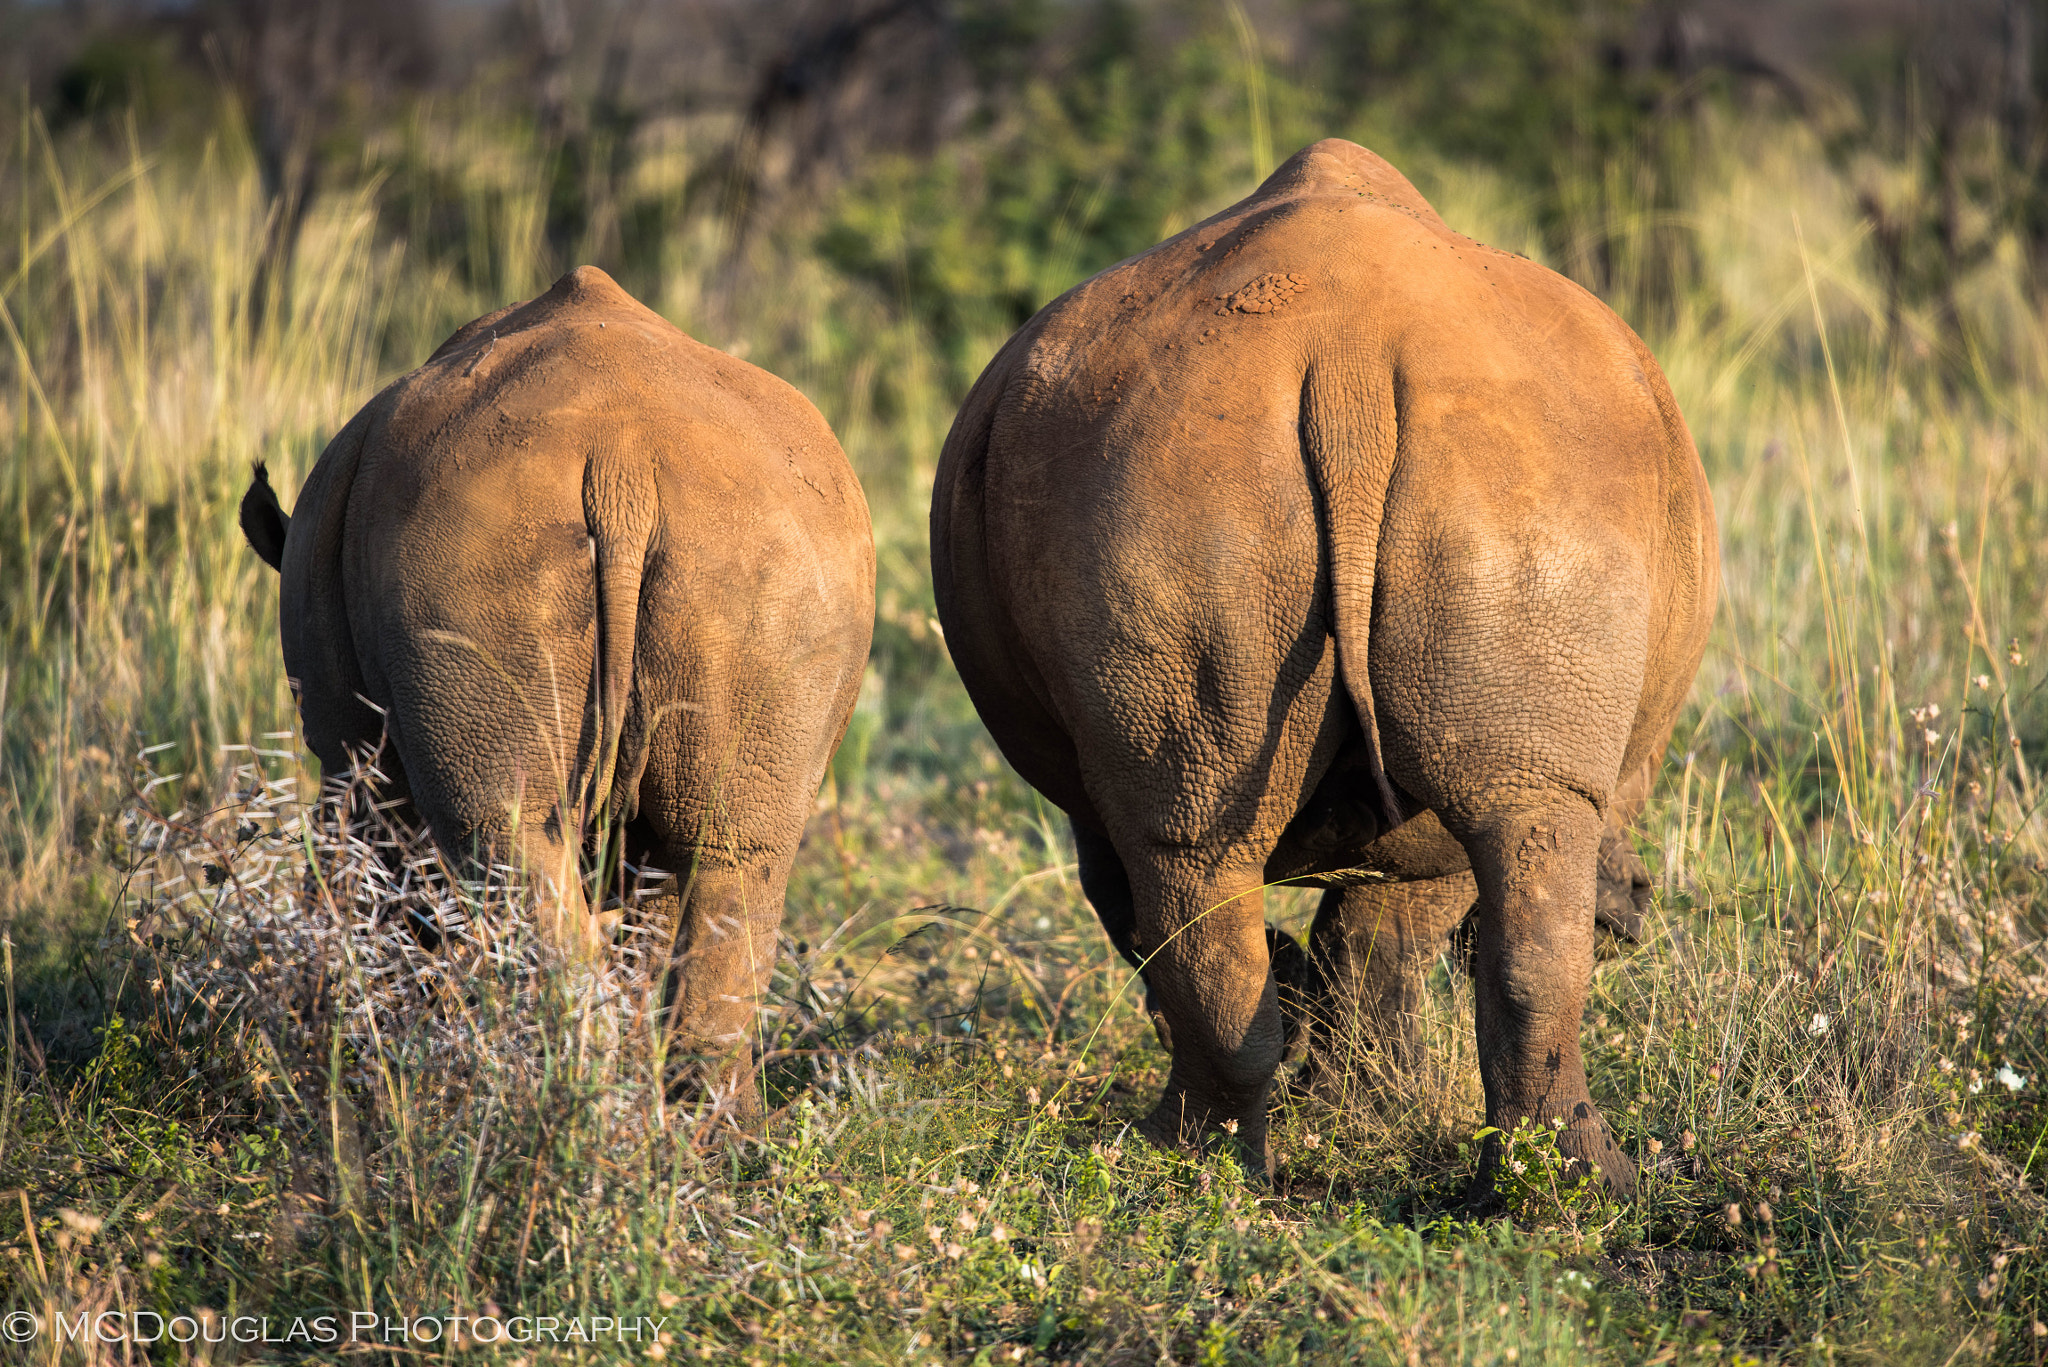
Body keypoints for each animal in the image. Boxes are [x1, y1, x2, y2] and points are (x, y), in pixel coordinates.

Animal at [241, 266, 875, 1103]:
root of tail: (623, 467)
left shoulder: (350, 754)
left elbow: (386, 875)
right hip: (762, 559)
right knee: (733, 856)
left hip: (468, 555)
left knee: (507, 839)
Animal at [931, 140, 1717, 1194]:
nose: (1636, 905)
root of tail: (1348, 365)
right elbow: (1374, 934)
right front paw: (1353, 1096)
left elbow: (1343, 935)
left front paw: (1351, 1100)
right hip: (1456, 484)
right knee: (1480, 826)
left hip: (1203, 480)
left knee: (1197, 849)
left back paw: (1205, 1163)